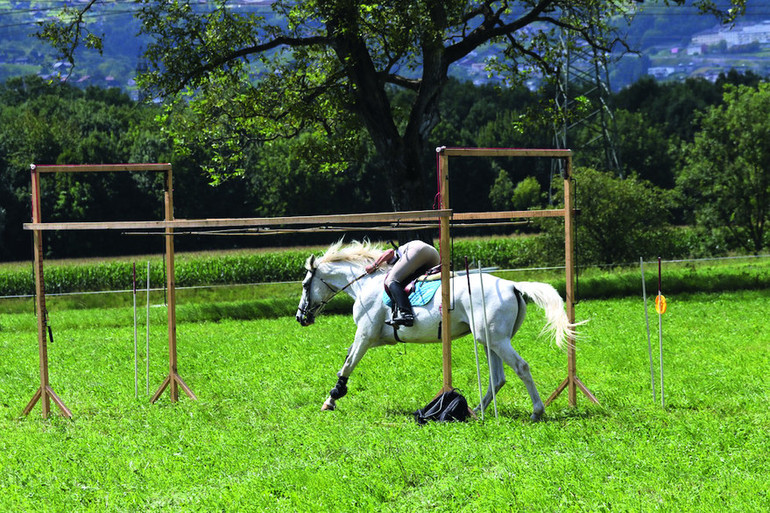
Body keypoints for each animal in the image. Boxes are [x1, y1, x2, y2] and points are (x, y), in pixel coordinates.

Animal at [294, 240, 576, 420]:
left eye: (306, 284)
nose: (300, 317)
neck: (364, 284)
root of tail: (512, 285)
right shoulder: (376, 338)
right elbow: (347, 359)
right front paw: (333, 396)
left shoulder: (365, 335)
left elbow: (348, 364)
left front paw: (331, 398)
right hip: (489, 341)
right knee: (498, 378)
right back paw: (474, 411)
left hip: (496, 340)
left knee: (521, 368)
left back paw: (537, 411)